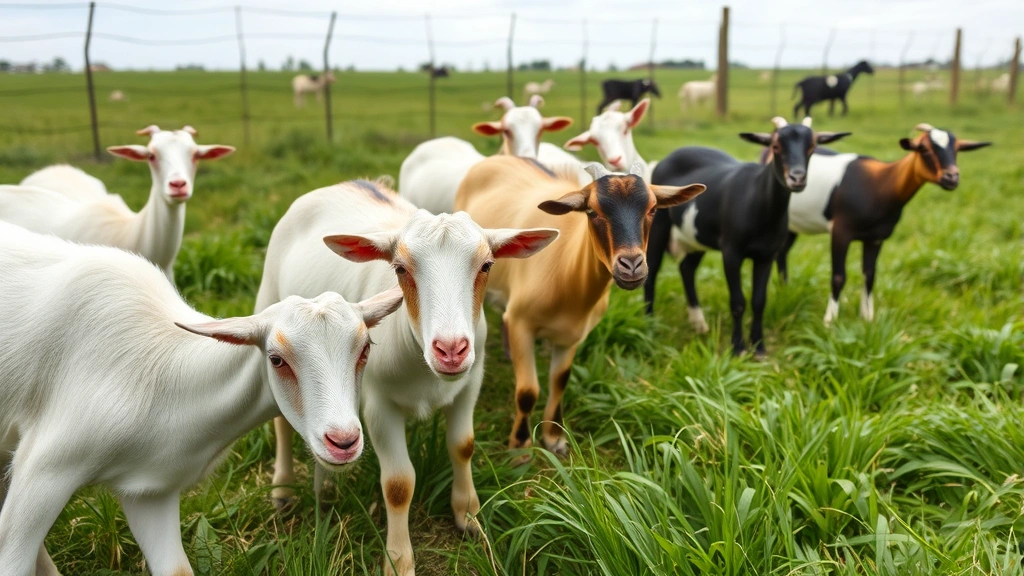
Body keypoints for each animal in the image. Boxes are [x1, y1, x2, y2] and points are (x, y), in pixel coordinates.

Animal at [0, 221, 403, 576]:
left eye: (366, 348)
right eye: (276, 359)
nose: (343, 441)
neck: (165, 377)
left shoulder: (150, 491)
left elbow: (176, 569)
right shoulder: (45, 471)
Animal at [259, 179, 557, 576]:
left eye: (487, 265)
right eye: (400, 269)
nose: (451, 349)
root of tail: (345, 183)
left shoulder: (471, 382)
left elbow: (463, 446)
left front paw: (469, 517)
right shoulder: (378, 404)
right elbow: (399, 484)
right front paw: (399, 560)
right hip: (270, 302)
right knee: (280, 419)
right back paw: (283, 490)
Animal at [456, 158, 704, 455]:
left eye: (653, 209)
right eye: (593, 212)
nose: (631, 265)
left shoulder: (572, 335)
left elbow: (560, 380)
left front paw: (554, 438)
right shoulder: (521, 323)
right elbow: (527, 391)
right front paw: (520, 446)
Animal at [645, 117, 851, 357]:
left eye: (812, 147)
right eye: (775, 146)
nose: (797, 178)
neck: (759, 202)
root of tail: (666, 158)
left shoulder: (766, 255)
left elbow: (759, 301)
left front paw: (759, 347)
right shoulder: (731, 251)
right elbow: (738, 302)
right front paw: (738, 348)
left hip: (697, 235)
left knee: (687, 268)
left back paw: (699, 324)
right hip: (659, 224)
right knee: (653, 268)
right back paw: (649, 323)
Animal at [774, 123, 990, 324]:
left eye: (957, 150)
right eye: (924, 149)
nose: (951, 177)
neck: (881, 184)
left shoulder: (875, 238)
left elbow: (869, 276)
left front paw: (868, 319)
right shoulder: (841, 232)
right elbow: (838, 277)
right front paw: (829, 322)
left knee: (782, 252)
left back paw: (785, 289)